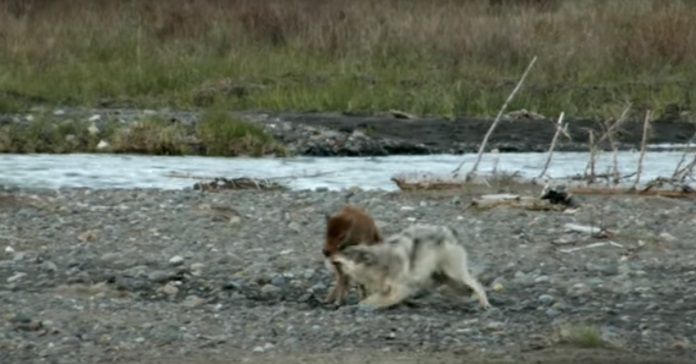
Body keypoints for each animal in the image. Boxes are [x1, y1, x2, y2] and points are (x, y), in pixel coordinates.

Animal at [330, 225, 490, 310]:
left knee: (477, 284)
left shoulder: (401, 287)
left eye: (343, 252)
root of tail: (450, 232)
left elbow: (374, 300)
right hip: (444, 279)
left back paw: (484, 304)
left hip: (454, 274)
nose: (328, 254)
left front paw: (364, 305)